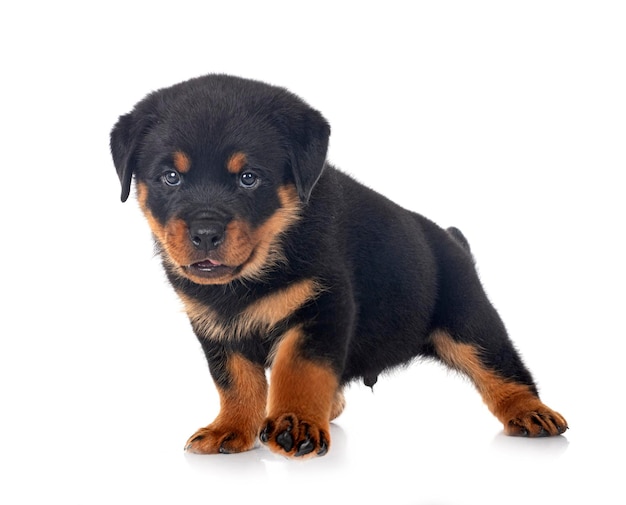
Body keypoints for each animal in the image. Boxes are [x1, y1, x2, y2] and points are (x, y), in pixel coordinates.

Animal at [111, 74, 564, 456]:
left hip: (468, 318)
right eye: (171, 177)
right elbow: (236, 382)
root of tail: (454, 242)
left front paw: (295, 423)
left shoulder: (322, 307)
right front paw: (232, 428)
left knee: (501, 366)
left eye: (249, 178)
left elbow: (300, 369)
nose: (205, 233)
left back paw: (531, 411)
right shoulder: (216, 327)